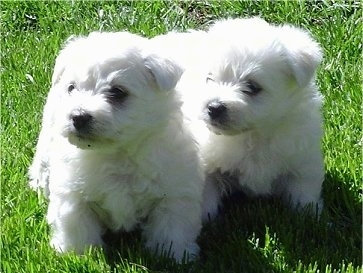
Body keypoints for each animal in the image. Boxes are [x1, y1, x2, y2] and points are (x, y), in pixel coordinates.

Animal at [28, 30, 205, 260]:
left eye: (118, 92)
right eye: (72, 88)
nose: (78, 116)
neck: (117, 154)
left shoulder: (174, 192)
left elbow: (172, 226)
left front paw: (174, 254)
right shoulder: (73, 193)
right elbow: (76, 224)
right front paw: (76, 254)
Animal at [196, 17, 328, 219]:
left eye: (252, 86)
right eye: (209, 79)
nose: (214, 107)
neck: (254, 135)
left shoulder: (302, 160)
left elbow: (304, 191)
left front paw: (310, 215)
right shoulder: (207, 163)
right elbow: (206, 194)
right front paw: (204, 217)